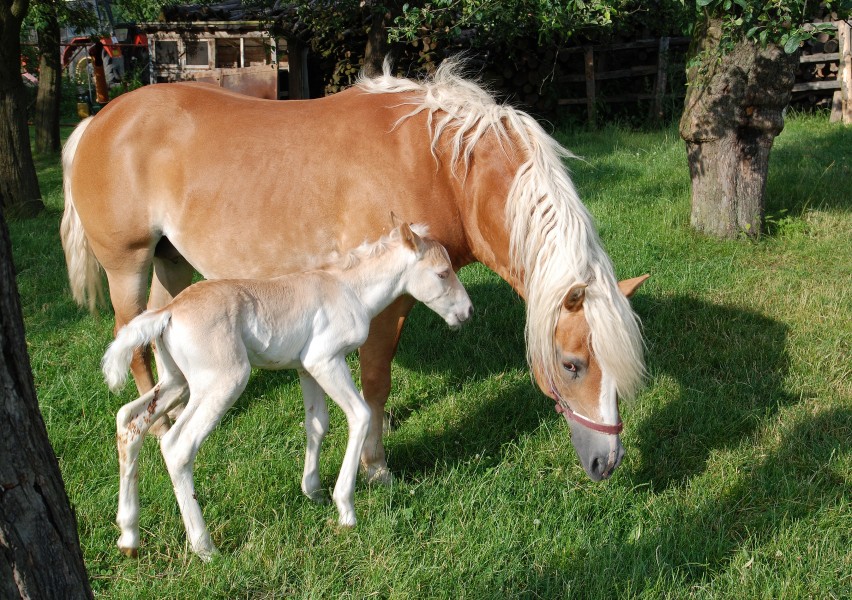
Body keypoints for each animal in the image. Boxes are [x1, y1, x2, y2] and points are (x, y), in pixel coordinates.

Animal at [62, 59, 647, 484]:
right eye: (573, 365)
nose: (607, 464)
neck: (443, 164)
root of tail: (98, 119)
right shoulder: (389, 302)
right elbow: (375, 380)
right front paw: (375, 464)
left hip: (172, 264)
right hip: (129, 266)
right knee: (132, 342)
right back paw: (159, 428)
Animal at [101, 221, 473, 560]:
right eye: (442, 273)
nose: (467, 312)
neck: (349, 288)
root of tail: (168, 312)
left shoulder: (305, 369)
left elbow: (317, 423)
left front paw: (313, 491)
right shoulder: (326, 360)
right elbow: (361, 415)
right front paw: (345, 509)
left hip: (177, 382)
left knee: (129, 421)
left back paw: (129, 536)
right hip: (223, 381)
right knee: (177, 446)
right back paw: (205, 548)